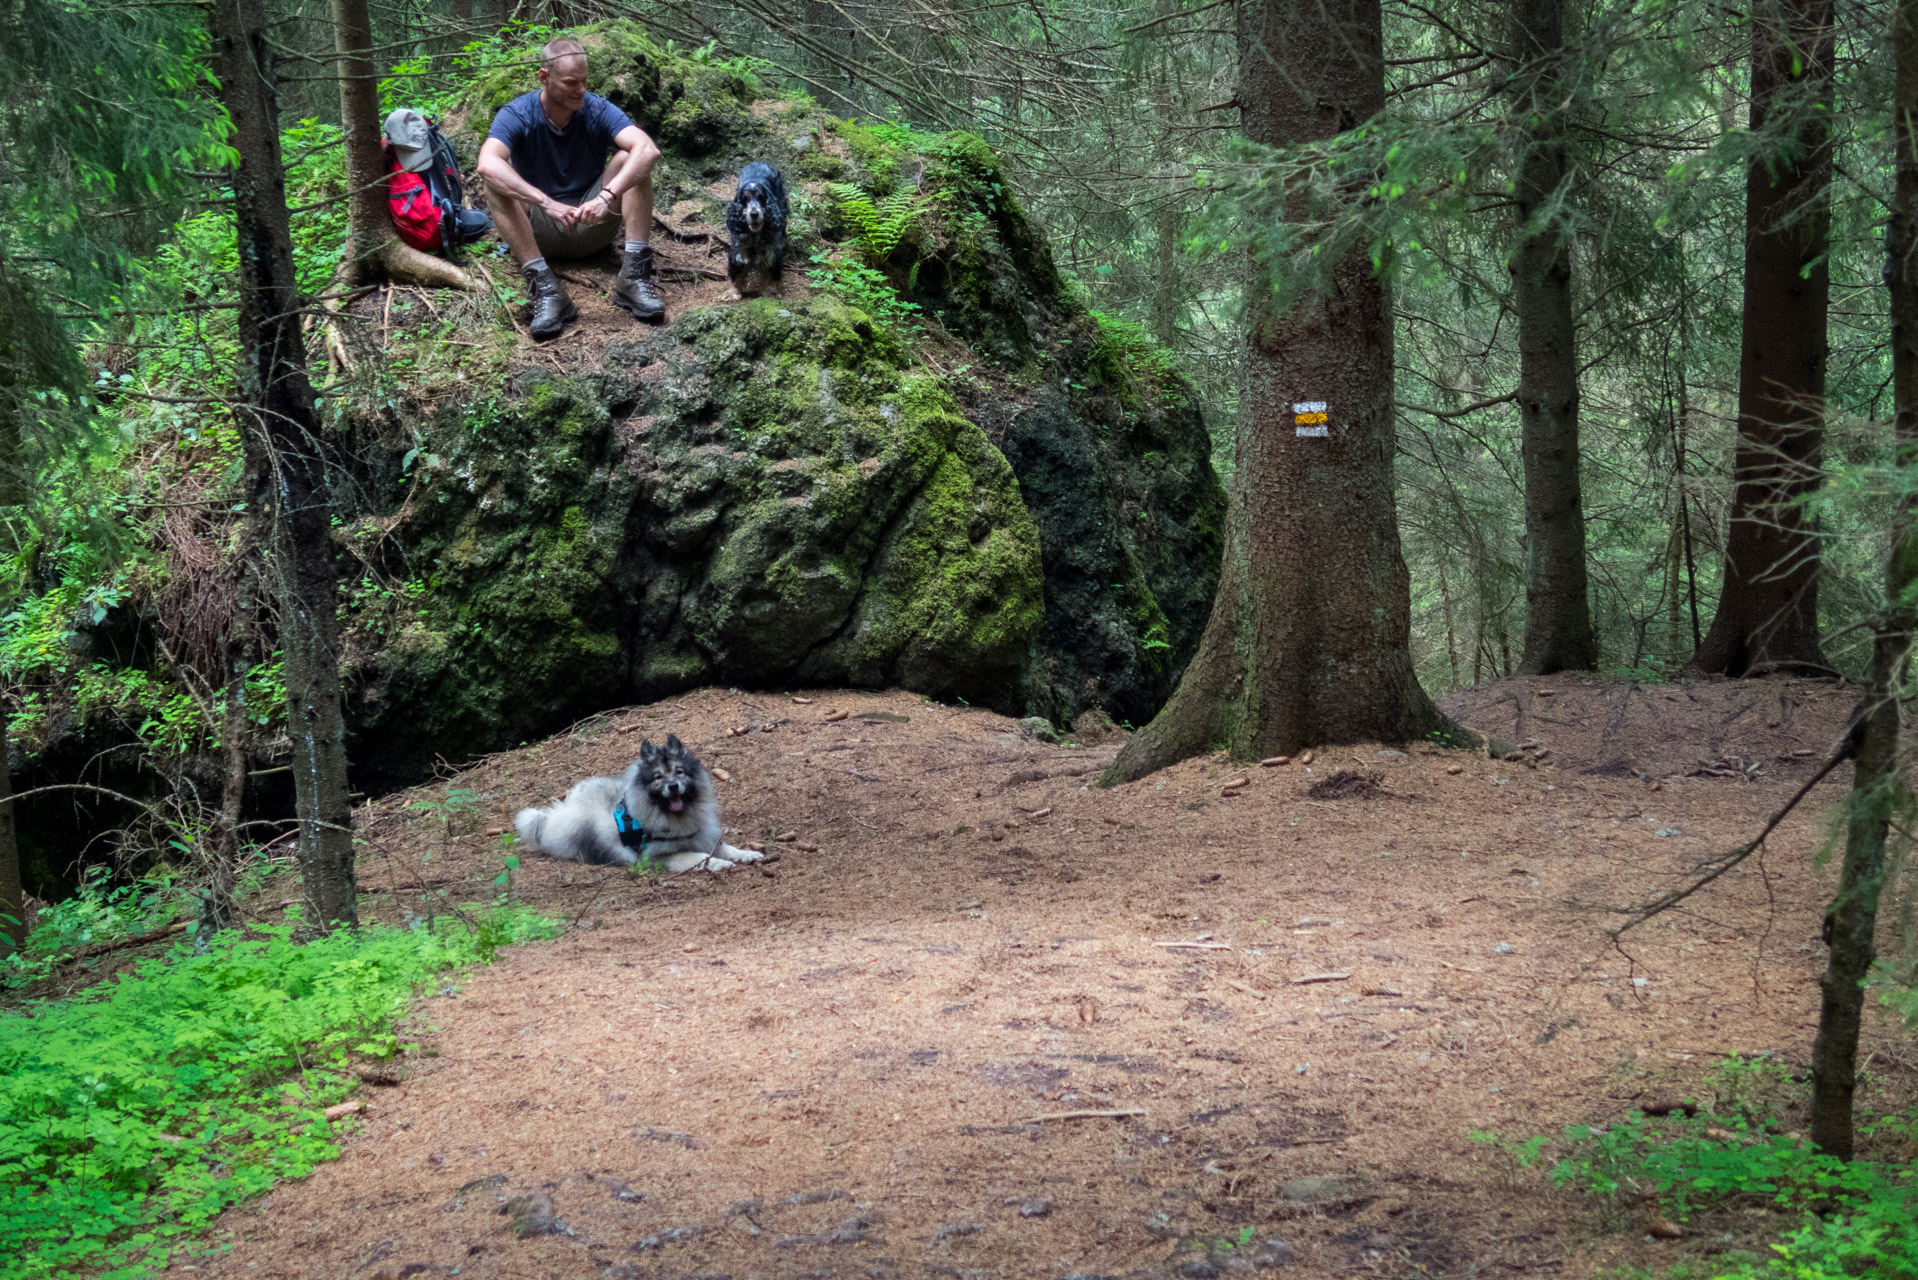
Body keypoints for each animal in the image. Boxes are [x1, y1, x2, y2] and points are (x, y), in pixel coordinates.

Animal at [510, 736, 763, 875]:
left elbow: (728, 848)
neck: (675, 816)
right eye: (658, 777)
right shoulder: (657, 857)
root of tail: (559, 812)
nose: (673, 786)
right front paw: (721, 864)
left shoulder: (705, 836)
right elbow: (699, 857)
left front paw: (749, 854)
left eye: (679, 772)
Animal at [725, 159, 786, 299]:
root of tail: (760, 162)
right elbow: (737, 272)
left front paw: (772, 291)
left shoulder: (771, 249)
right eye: (745, 198)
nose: (754, 214)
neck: (755, 235)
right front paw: (733, 293)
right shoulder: (739, 249)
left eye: (761, 197)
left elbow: (772, 272)